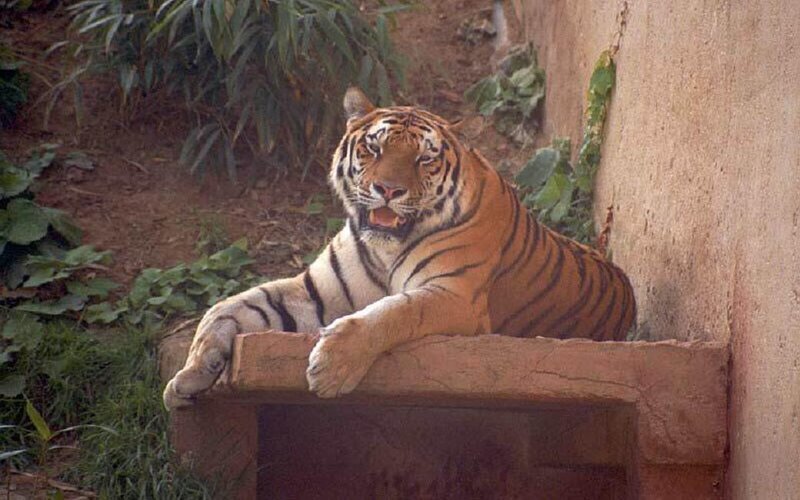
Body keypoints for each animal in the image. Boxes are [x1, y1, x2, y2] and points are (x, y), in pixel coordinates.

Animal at [163, 87, 636, 407]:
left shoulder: (455, 296)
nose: (388, 190)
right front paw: (188, 377)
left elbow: (392, 312)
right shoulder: (314, 292)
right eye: (374, 147)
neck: (385, 247)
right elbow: (227, 308)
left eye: (424, 158)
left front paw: (331, 367)